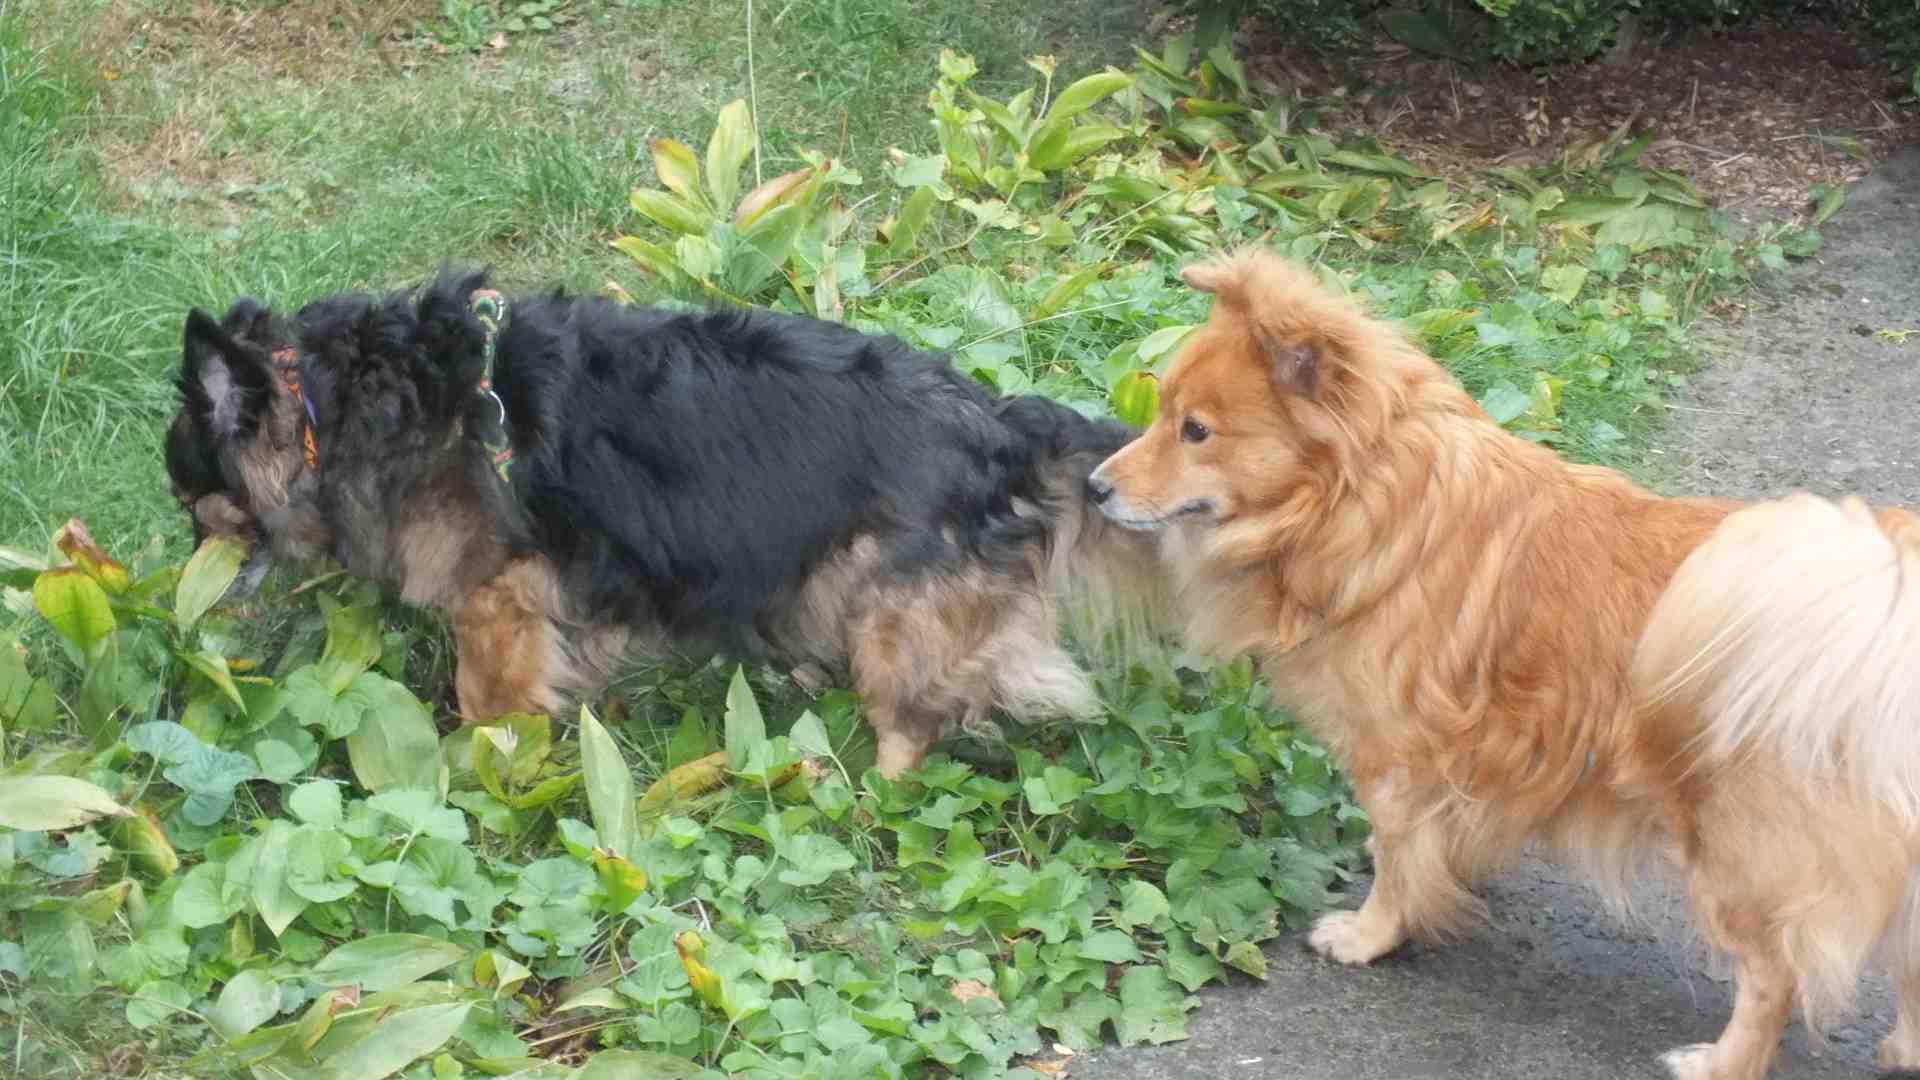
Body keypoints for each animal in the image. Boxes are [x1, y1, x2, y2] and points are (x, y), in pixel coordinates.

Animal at [164, 269, 1154, 776]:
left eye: (195, 507)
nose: (184, 577)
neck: (335, 403)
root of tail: (999, 426)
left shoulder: (497, 600)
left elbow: (487, 704)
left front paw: (474, 774)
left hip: (888, 610)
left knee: (913, 725)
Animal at [1086, 247, 1920, 1079]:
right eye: (1160, 412)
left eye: (1196, 431)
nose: (1094, 487)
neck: (1366, 503)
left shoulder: (1398, 760)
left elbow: (1400, 859)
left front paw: (1370, 934)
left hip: (1737, 861)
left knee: (1775, 976)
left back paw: (1720, 1061)